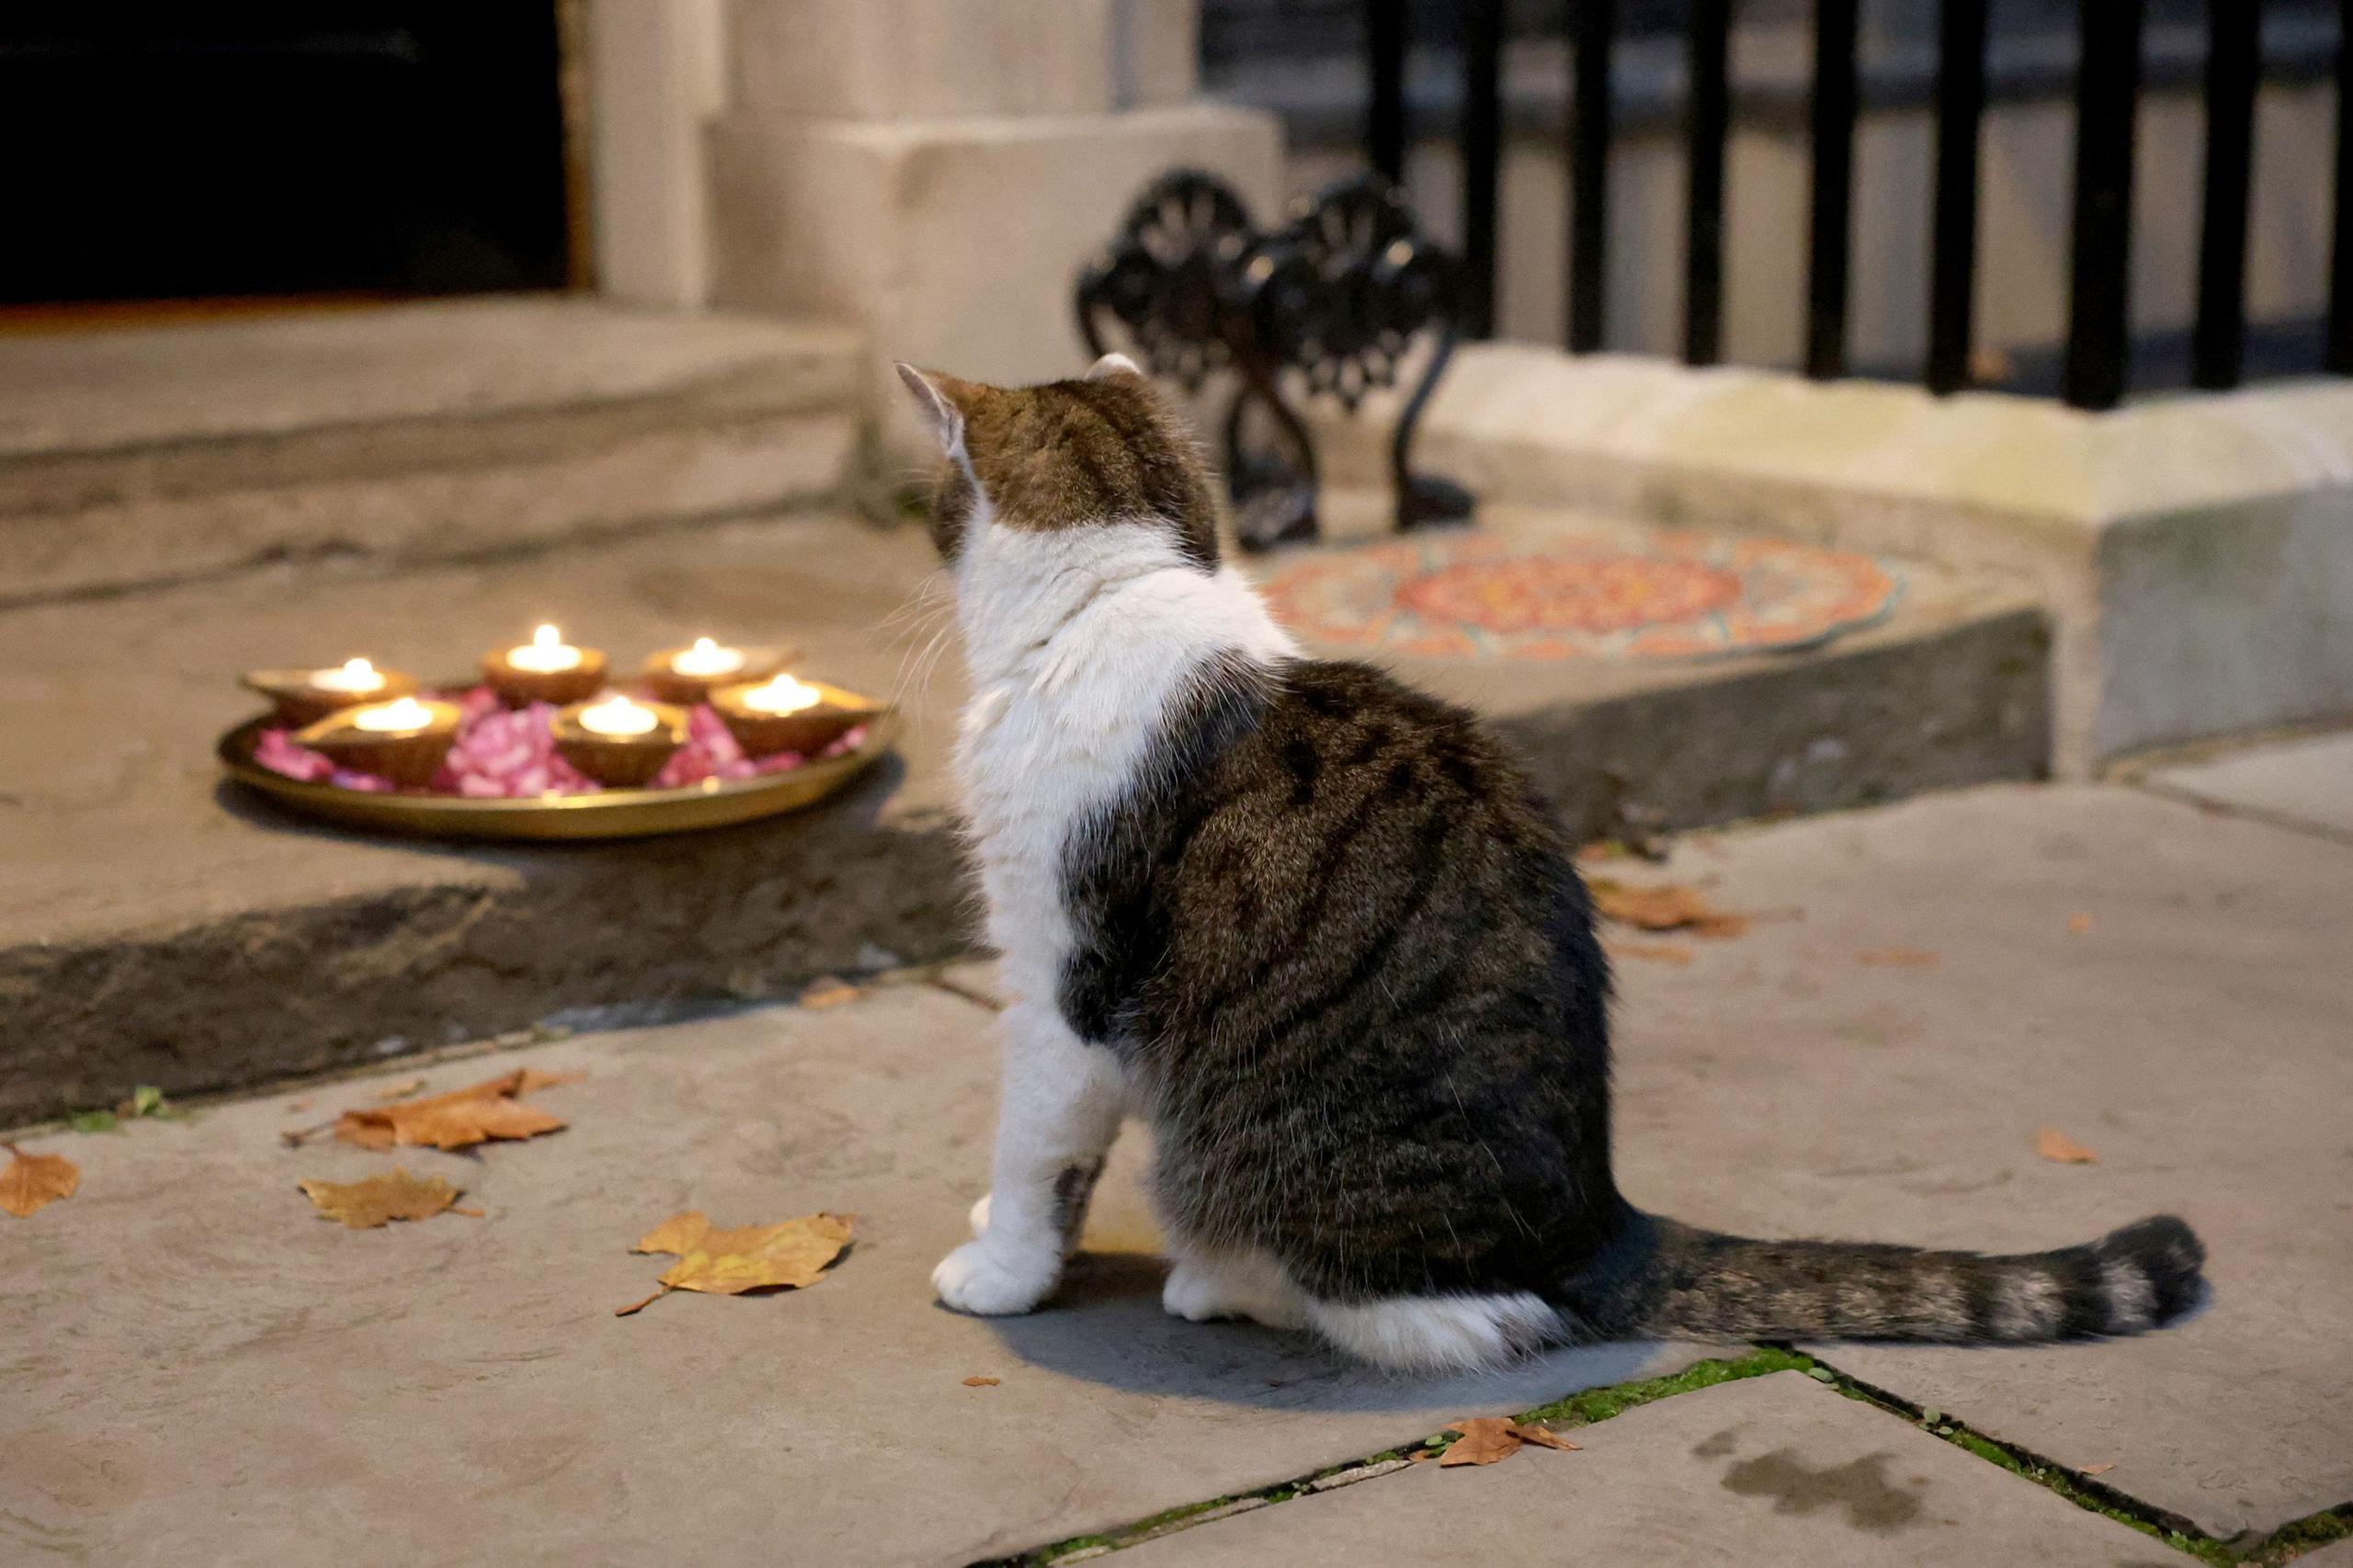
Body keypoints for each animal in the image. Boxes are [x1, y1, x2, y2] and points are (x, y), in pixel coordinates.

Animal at [898, 353, 2202, 1365]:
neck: (1116, 597)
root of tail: (1600, 1221)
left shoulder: (1063, 979)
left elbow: (1042, 1149)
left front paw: (1000, 1268)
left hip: (1273, 1152)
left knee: (1438, 1314)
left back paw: (1220, 1278)